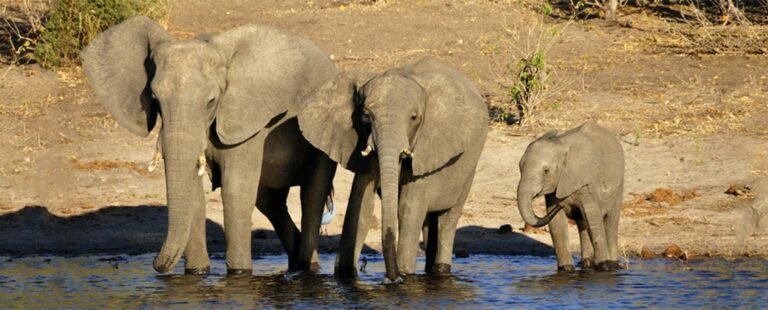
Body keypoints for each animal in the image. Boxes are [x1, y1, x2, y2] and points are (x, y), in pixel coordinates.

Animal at [81, 16, 340, 274]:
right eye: (155, 99)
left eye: (212, 101)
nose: (157, 265)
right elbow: (194, 193)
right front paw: (197, 273)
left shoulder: (247, 121)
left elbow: (236, 190)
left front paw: (239, 274)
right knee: (270, 202)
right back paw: (295, 266)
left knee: (312, 195)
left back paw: (308, 268)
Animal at [296, 57, 488, 282]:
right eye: (366, 116)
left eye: (414, 117)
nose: (392, 278)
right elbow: (361, 204)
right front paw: (347, 275)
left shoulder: (427, 149)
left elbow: (407, 207)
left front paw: (405, 276)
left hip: (469, 170)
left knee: (447, 220)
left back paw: (441, 269)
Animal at [516, 121, 624, 272]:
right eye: (520, 167)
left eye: (546, 171)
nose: (561, 205)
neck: (561, 146)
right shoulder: (555, 186)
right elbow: (557, 223)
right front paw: (566, 269)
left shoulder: (587, 182)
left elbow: (593, 218)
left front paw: (605, 267)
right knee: (583, 222)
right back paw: (586, 264)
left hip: (619, 185)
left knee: (610, 221)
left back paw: (613, 264)